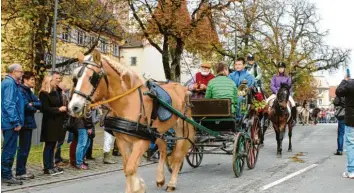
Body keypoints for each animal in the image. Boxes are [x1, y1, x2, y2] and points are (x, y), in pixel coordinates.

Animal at [68, 50, 195, 193]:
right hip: (159, 132)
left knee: (178, 155)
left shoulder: (142, 141)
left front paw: (138, 187)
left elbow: (130, 167)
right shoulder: (122, 141)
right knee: (163, 149)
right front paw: (137, 186)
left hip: (181, 128)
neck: (128, 103)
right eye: (75, 78)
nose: (74, 107)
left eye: (92, 77)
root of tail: (183, 88)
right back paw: (160, 179)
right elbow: (127, 167)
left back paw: (172, 183)